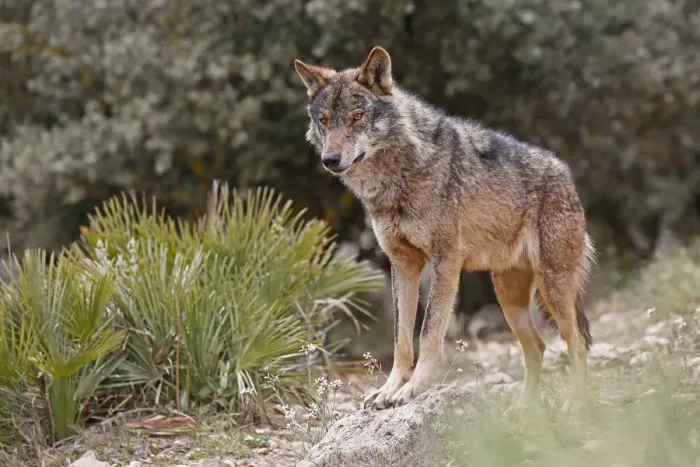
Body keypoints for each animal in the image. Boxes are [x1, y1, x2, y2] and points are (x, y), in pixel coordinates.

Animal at [294, 46, 595, 411]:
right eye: (324, 121)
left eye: (356, 116)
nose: (331, 159)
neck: (398, 179)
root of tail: (565, 173)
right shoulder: (403, 265)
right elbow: (401, 338)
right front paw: (388, 390)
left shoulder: (446, 260)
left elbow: (428, 332)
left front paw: (412, 389)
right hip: (508, 296)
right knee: (537, 347)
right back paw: (524, 410)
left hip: (553, 289)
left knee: (577, 343)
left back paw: (574, 405)